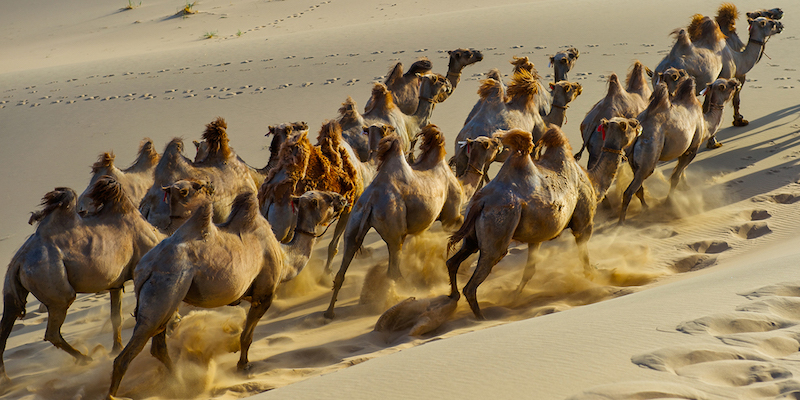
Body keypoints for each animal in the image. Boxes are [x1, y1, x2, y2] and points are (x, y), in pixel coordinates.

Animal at [0, 177, 164, 382]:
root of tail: (19, 260)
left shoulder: (115, 284)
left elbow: (116, 316)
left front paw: (115, 348)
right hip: (55, 288)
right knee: (52, 330)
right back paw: (85, 358)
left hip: (11, 289)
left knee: (7, 324)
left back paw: (5, 379)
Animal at [108, 190, 346, 396]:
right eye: (325, 198)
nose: (342, 198)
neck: (284, 256)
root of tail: (145, 268)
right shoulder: (264, 295)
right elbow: (246, 336)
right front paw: (243, 366)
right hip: (165, 289)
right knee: (126, 355)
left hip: (166, 299)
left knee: (158, 346)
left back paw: (180, 381)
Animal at [324, 125, 462, 318]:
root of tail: (370, 202)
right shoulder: (451, 215)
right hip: (394, 231)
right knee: (394, 270)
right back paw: (408, 294)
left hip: (354, 225)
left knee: (343, 268)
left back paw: (329, 312)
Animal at [444, 121, 636, 318]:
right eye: (627, 125)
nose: (638, 124)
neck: (592, 181)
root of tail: (481, 202)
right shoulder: (584, 224)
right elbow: (584, 259)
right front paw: (594, 279)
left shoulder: (536, 236)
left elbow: (530, 270)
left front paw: (516, 295)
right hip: (498, 227)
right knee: (476, 279)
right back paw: (481, 318)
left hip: (472, 236)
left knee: (453, 261)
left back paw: (453, 296)